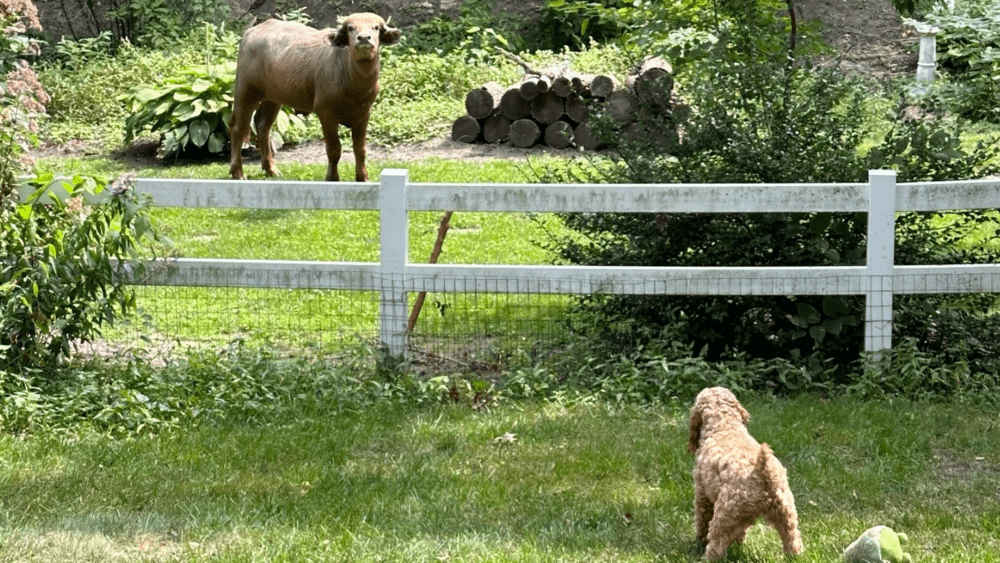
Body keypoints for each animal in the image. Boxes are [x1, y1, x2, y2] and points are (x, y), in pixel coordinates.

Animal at [229, 13, 400, 181]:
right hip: (246, 90)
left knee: (262, 124)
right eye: (351, 28)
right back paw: (237, 172)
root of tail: (250, 32)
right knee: (238, 127)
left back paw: (271, 169)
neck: (353, 84)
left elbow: (360, 149)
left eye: (376, 27)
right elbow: (334, 150)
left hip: (273, 97)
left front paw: (363, 178)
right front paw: (332, 177)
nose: (364, 38)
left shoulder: (364, 114)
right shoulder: (326, 113)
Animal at [688, 388, 804, 560]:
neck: (725, 426)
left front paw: (699, 543)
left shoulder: (702, 495)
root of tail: (763, 470)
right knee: (793, 542)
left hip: (724, 516)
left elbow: (702, 522)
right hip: (786, 513)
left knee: (716, 546)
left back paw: (707, 557)